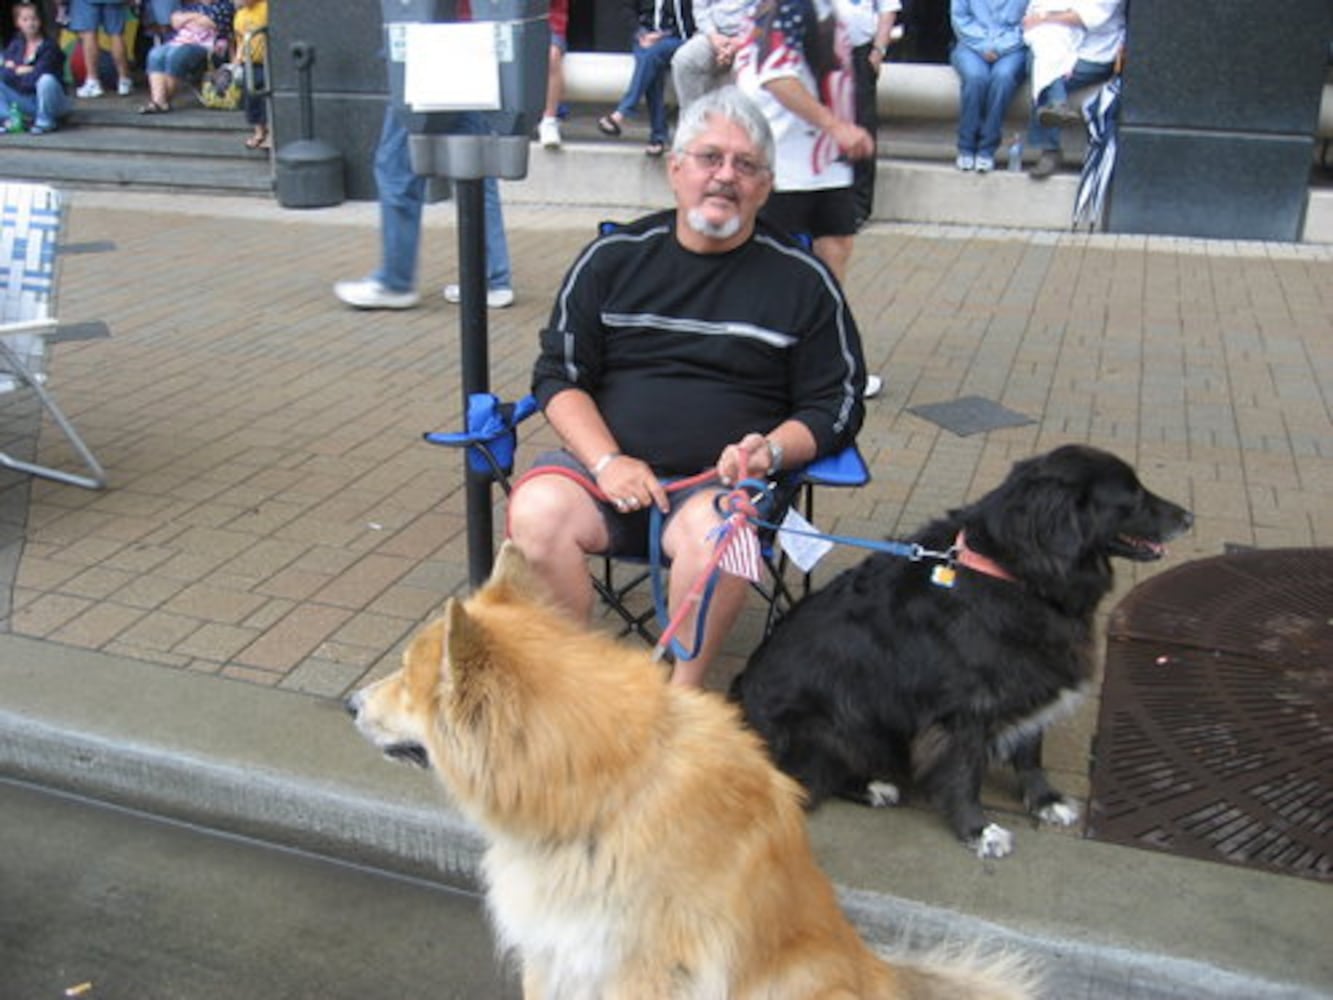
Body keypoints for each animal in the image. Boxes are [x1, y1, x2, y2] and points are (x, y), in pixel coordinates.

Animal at [346, 544, 1029, 1000]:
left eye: (404, 677)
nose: (350, 702)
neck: (606, 795)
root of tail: (880, 973)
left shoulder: (640, 974)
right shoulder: (555, 954)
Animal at [735, 445, 1194, 864]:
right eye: (1131, 496)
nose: (1189, 517)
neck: (1014, 571)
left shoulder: (1028, 677)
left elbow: (1031, 749)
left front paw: (1045, 800)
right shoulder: (966, 707)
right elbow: (963, 771)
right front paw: (979, 830)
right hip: (832, 723)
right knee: (804, 781)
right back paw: (872, 786)